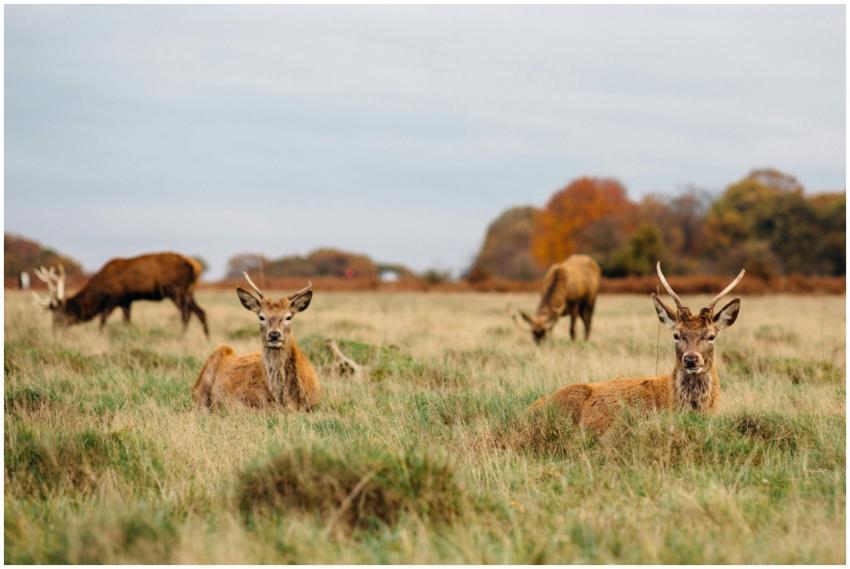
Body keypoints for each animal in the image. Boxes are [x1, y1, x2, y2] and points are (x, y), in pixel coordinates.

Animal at [31, 252, 208, 336]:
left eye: (60, 313)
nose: (54, 330)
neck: (100, 290)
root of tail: (196, 266)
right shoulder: (127, 301)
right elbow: (126, 321)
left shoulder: (115, 297)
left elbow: (102, 319)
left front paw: (99, 336)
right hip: (188, 291)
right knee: (201, 312)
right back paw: (206, 336)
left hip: (176, 290)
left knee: (186, 314)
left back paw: (182, 336)